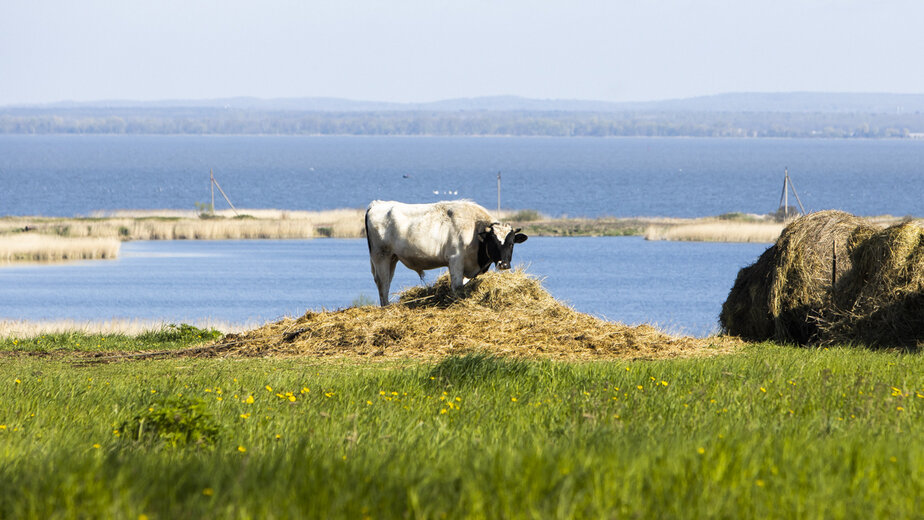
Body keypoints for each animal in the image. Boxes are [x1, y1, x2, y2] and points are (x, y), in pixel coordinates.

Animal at [366, 199, 532, 304]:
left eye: (511, 243)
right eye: (493, 243)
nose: (504, 264)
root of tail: (378, 204)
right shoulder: (455, 260)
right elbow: (457, 287)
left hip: (392, 258)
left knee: (386, 281)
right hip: (380, 256)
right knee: (383, 284)